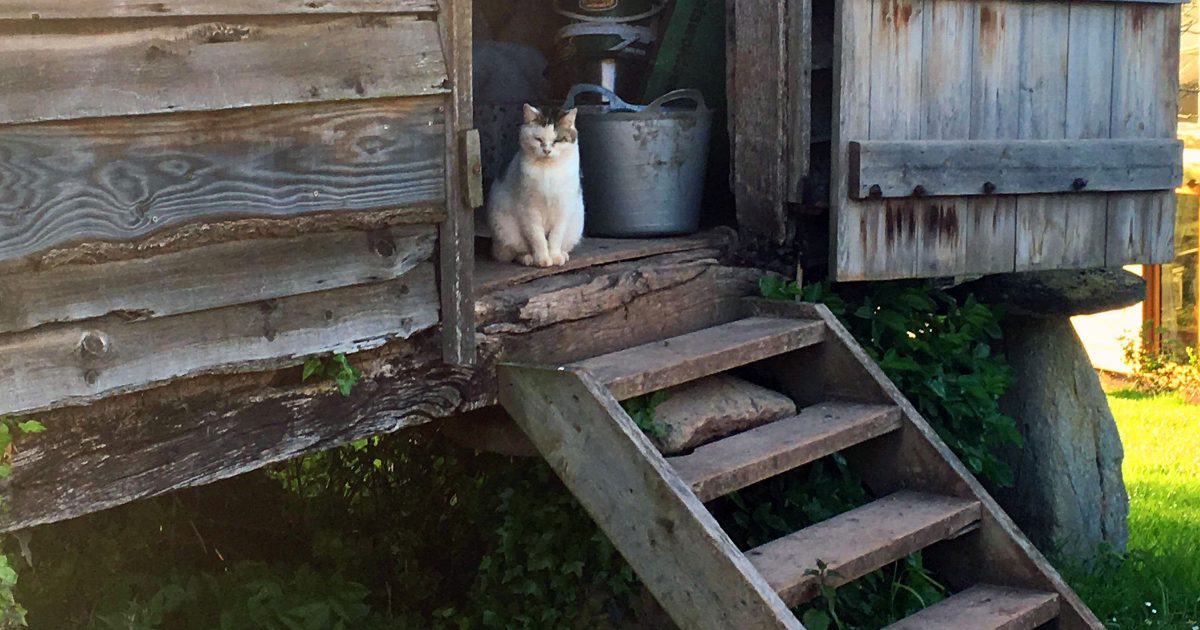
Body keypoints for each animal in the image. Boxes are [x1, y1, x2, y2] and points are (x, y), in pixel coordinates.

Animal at [484, 103, 583, 265]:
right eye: (538, 139)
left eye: (557, 141)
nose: (547, 150)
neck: (549, 171)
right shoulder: (530, 210)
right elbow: (538, 238)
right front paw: (543, 259)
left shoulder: (562, 208)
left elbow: (555, 237)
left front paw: (555, 256)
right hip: (506, 230)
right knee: (513, 253)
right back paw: (528, 258)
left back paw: (563, 254)